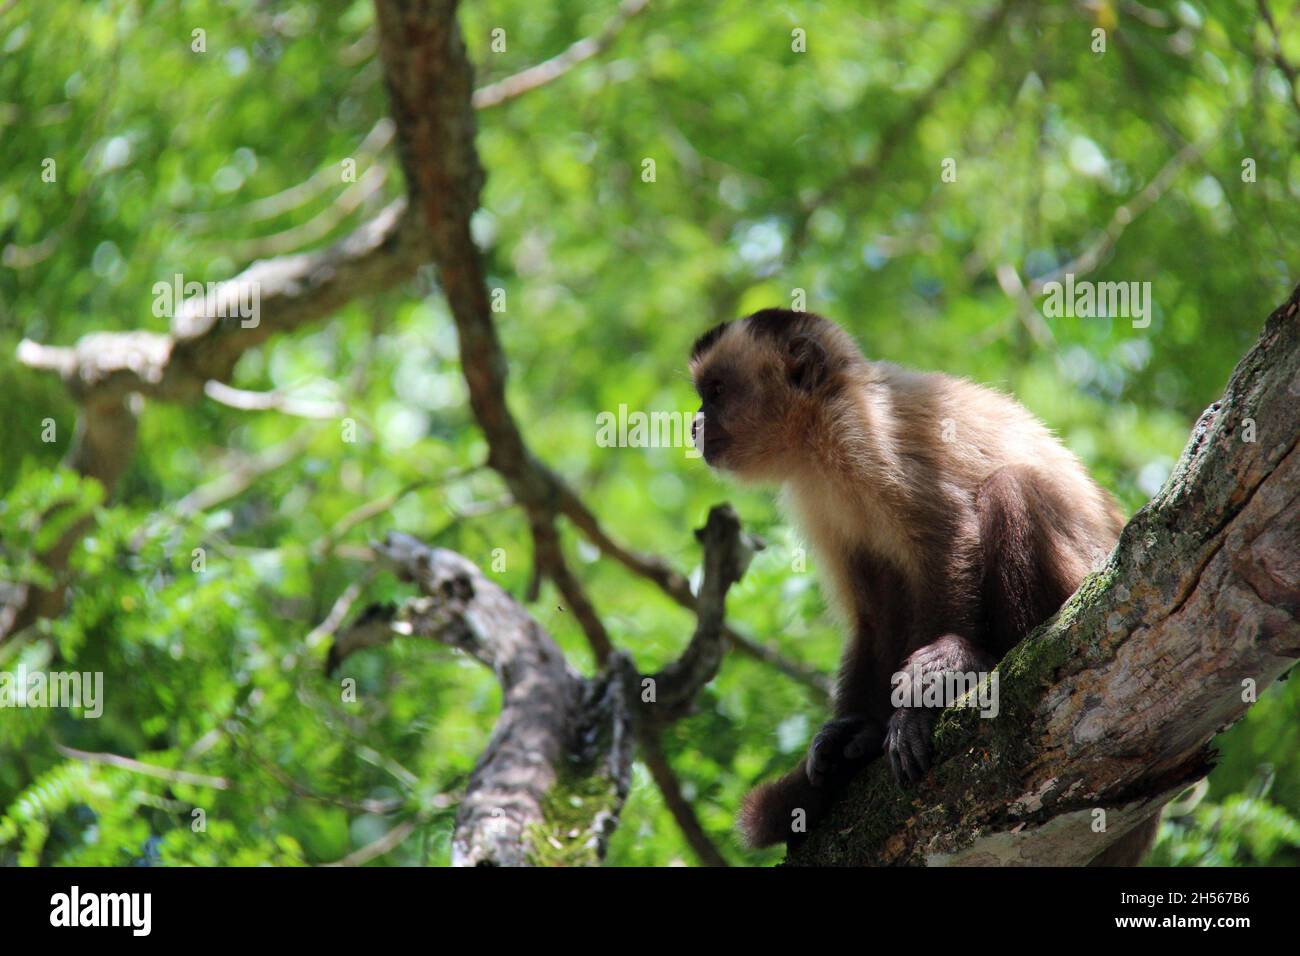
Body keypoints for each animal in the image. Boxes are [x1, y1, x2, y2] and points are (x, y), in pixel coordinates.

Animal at [691, 310, 1159, 863]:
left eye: (716, 392)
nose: (694, 422)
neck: (819, 432)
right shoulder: (813, 494)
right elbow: (868, 612)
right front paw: (856, 734)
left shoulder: (868, 435)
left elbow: (951, 536)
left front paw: (928, 695)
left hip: (1083, 580)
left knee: (1012, 488)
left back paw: (986, 657)